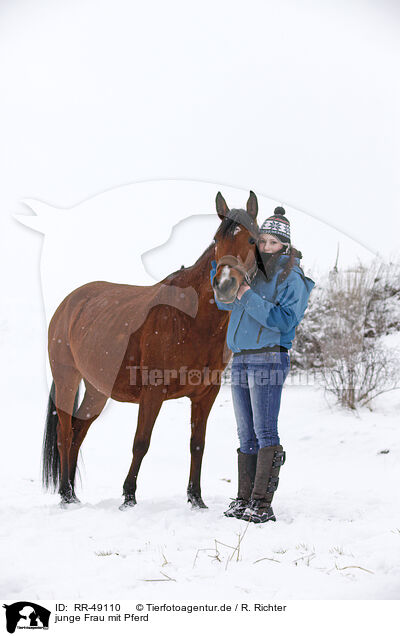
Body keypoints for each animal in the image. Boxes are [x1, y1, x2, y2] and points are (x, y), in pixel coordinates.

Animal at [41, 189, 260, 506]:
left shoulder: (206, 394)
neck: (190, 317)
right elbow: (141, 443)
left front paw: (196, 499)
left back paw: (71, 491)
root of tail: (69, 303)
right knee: (64, 432)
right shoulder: (153, 392)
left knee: (78, 431)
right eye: (217, 239)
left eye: (253, 240)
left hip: (97, 390)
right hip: (67, 378)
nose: (225, 285)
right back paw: (67, 495)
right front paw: (128, 496)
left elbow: (197, 444)